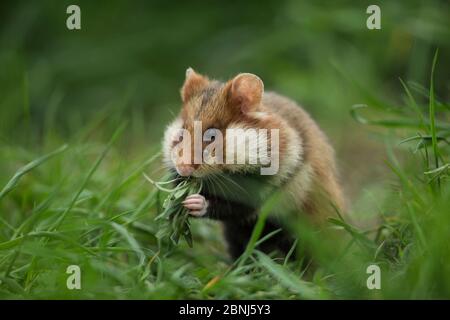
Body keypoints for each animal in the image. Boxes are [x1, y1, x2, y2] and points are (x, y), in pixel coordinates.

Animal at [162, 68, 344, 260]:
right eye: (181, 134)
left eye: (212, 136)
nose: (183, 168)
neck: (225, 173)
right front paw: (177, 198)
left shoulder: (261, 189)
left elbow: (230, 207)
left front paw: (192, 201)